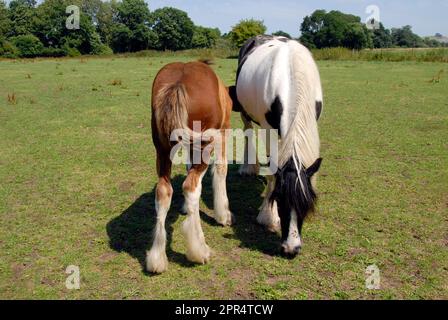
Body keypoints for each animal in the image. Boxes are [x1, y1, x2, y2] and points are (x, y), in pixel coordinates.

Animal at [147, 60, 233, 272]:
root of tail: (177, 84)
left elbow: (187, 167)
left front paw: (186, 208)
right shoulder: (223, 133)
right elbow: (221, 169)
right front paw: (223, 216)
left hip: (163, 150)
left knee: (164, 191)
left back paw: (156, 259)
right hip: (205, 144)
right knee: (191, 186)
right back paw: (199, 250)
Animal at [229, 35, 324, 256]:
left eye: (306, 205)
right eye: (279, 201)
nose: (291, 248)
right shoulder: (268, 128)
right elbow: (273, 171)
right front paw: (268, 216)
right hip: (245, 112)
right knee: (247, 131)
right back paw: (248, 167)